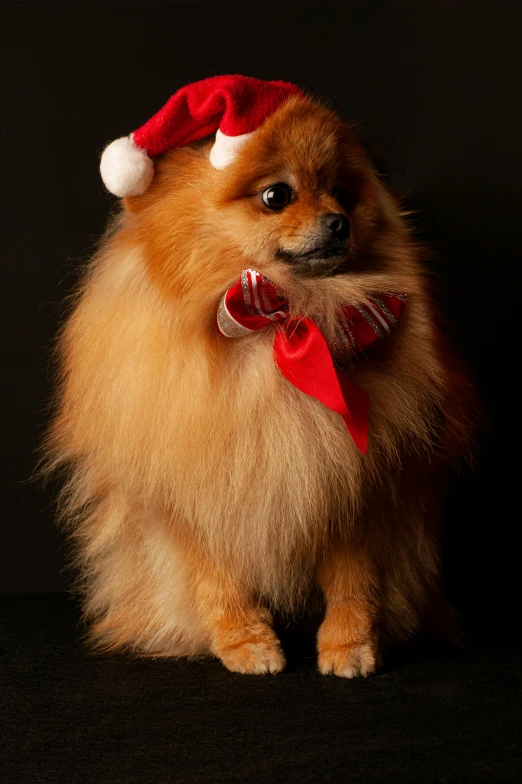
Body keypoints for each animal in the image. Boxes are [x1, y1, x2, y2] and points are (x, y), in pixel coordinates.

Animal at [44, 81, 474, 680]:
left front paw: (349, 645)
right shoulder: (200, 490)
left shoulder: (358, 491)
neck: (284, 322)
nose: (338, 221)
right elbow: (217, 579)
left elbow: (354, 580)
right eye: (276, 196)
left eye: (342, 193)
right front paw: (245, 642)